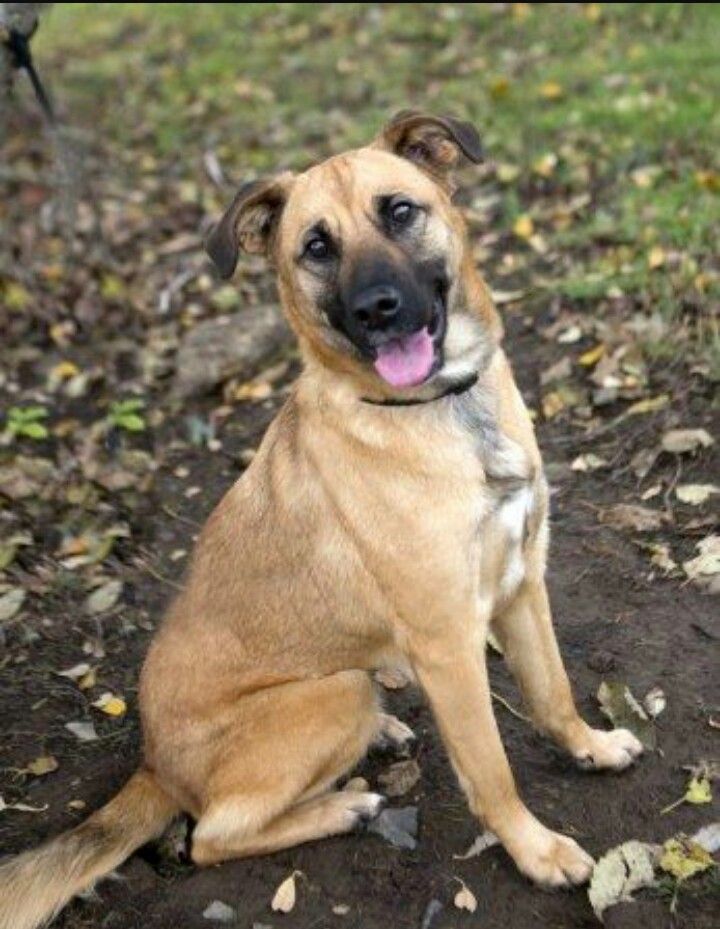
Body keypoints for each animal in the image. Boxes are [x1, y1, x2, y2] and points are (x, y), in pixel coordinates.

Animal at [0, 110, 640, 928]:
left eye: (398, 211)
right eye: (316, 247)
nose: (377, 309)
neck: (442, 410)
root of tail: (153, 762)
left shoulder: (523, 583)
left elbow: (553, 691)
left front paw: (590, 746)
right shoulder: (448, 643)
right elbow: (492, 769)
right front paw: (536, 851)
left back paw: (385, 735)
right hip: (334, 692)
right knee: (210, 836)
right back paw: (343, 805)